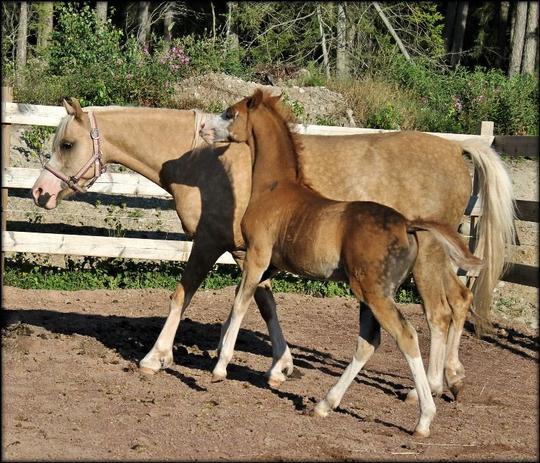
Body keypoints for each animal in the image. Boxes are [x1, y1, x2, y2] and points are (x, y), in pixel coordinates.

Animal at [202, 90, 480, 438]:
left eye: (230, 113)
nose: (203, 129)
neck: (274, 188)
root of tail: (407, 225)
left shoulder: (257, 256)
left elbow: (241, 303)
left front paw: (220, 366)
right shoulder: (271, 264)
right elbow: (248, 300)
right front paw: (272, 366)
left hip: (375, 294)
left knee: (407, 334)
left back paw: (424, 417)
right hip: (369, 295)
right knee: (369, 342)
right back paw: (325, 404)